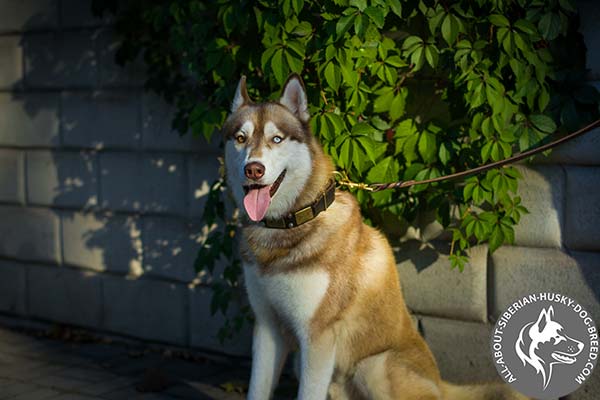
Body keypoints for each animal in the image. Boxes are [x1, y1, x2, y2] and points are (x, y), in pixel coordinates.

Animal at [223, 75, 528, 400]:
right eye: (240, 138)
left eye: (277, 139)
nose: (253, 169)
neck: (286, 226)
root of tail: (442, 385)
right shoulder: (267, 327)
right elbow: (257, 388)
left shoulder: (317, 336)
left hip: (374, 366)